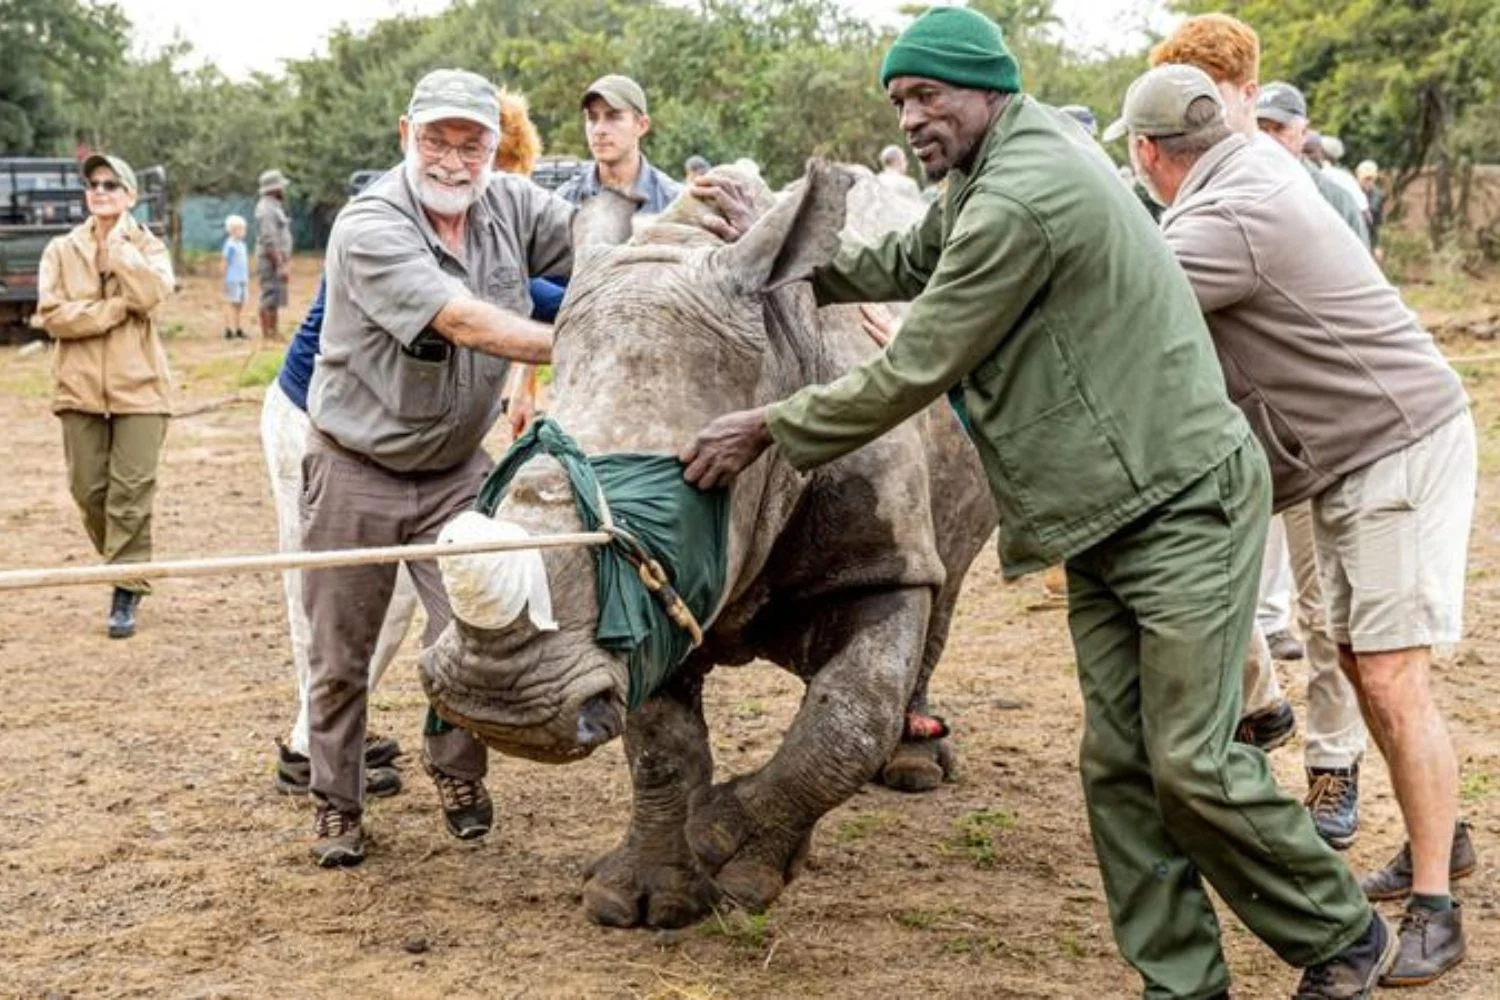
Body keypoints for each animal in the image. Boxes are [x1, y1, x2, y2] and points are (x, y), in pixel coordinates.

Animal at [420, 161, 997, 929]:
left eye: (674, 500)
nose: (497, 702)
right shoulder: (649, 611)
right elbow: (662, 746)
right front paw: (642, 900)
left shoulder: (879, 566)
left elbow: (849, 717)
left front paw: (732, 851)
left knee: (945, 581)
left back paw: (912, 769)